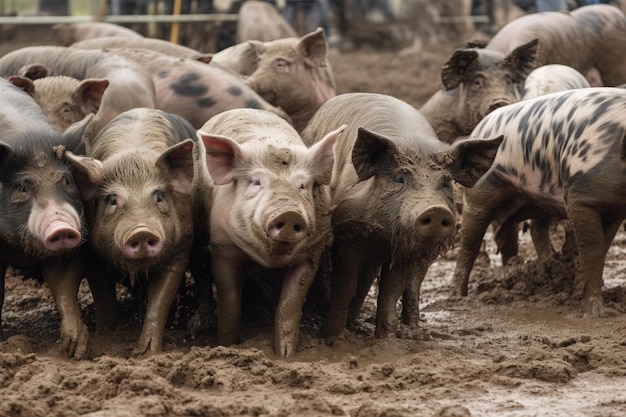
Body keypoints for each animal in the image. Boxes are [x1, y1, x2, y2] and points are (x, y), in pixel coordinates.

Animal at [194, 108, 342, 358]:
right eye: (256, 182)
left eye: (303, 185)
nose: (289, 213)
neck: (268, 258)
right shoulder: (222, 249)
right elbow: (229, 302)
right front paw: (227, 345)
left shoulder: (311, 253)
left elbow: (290, 304)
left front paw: (285, 355)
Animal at [298, 93, 502, 342]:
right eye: (400, 179)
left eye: (445, 182)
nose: (435, 210)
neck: (384, 237)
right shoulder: (348, 235)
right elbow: (345, 286)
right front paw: (332, 339)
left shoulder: (407, 250)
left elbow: (390, 292)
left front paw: (386, 341)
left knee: (410, 286)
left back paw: (414, 331)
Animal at [450, 86, 624, 316]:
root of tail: (480, 125)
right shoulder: (580, 196)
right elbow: (592, 248)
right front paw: (595, 313)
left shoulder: (615, 209)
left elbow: (603, 248)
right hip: (481, 189)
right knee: (470, 242)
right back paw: (457, 296)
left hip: (538, 201)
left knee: (529, 232)